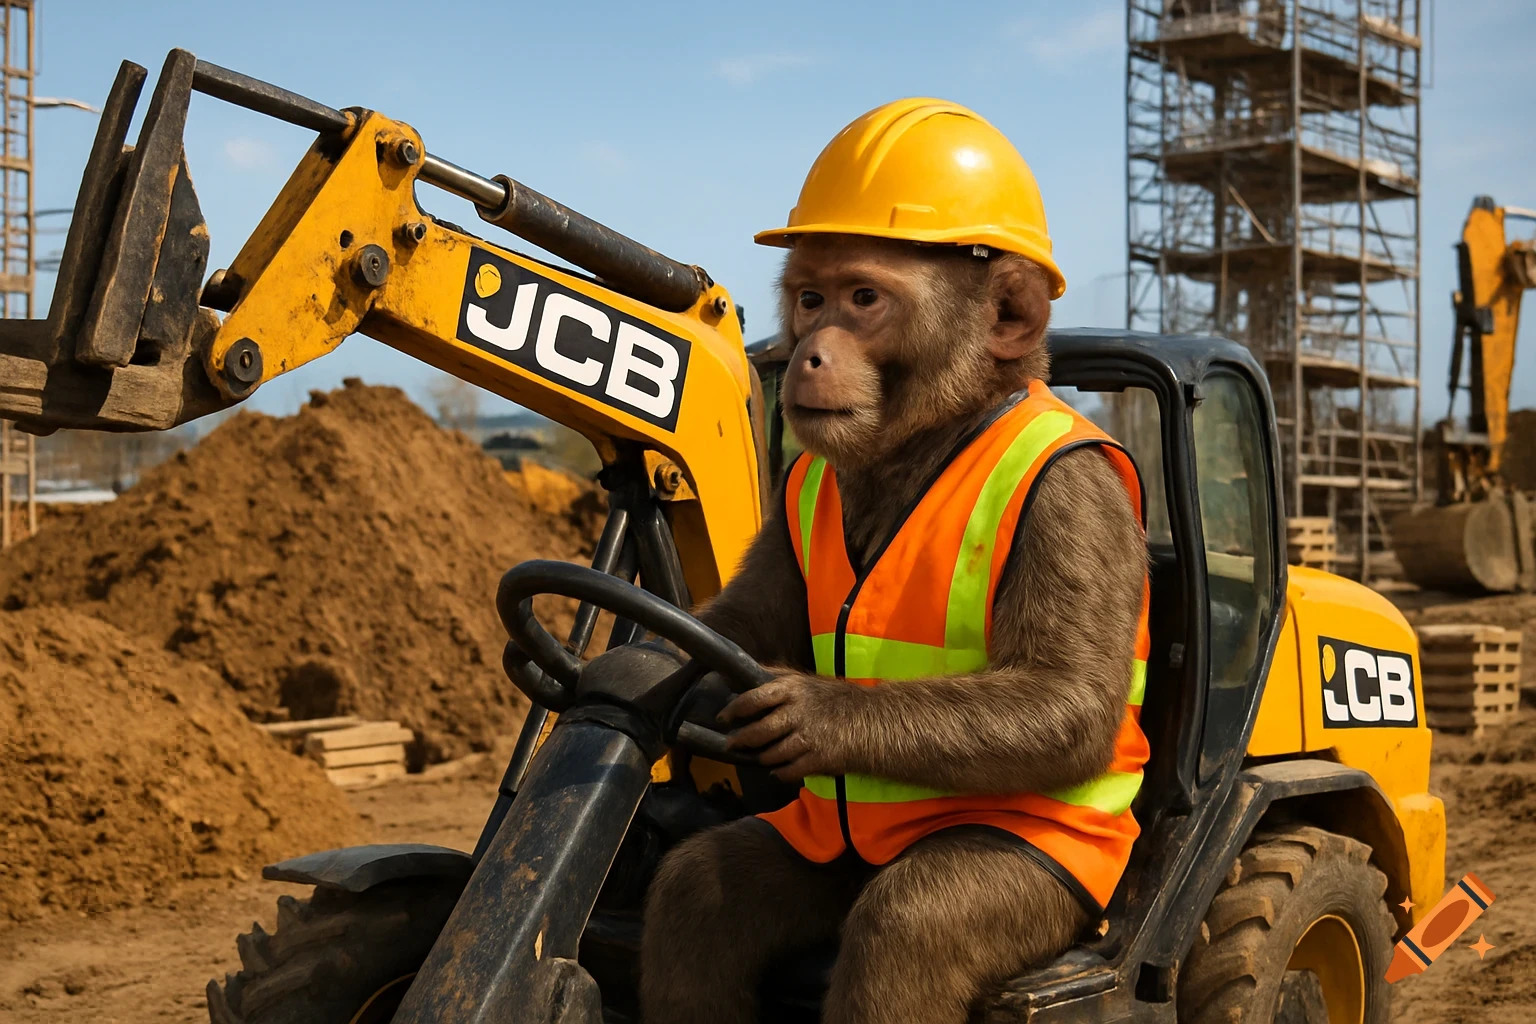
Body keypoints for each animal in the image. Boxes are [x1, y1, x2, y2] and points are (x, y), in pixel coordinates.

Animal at [639, 233, 1148, 1024]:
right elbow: (753, 610)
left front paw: (813, 713)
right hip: (815, 846)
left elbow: (1070, 694)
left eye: (864, 299)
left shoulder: (1074, 499)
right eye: (810, 298)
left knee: (906, 930)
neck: (940, 431)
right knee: (699, 891)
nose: (811, 352)